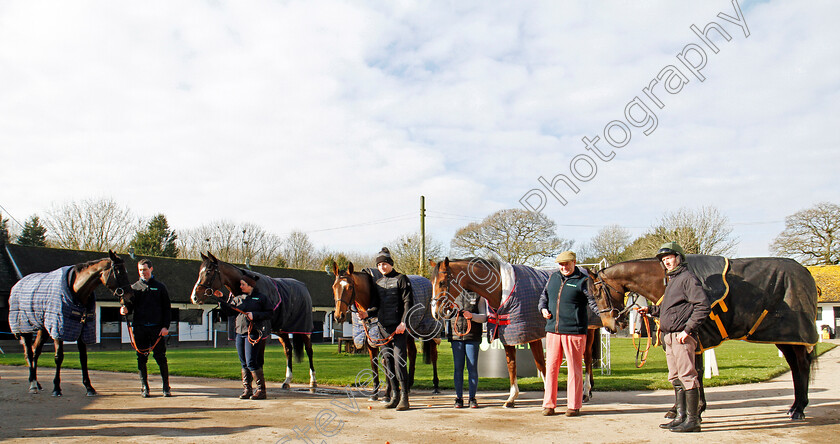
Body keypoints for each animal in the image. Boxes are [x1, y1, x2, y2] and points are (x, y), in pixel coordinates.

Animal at [8, 251, 135, 398]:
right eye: (119, 271)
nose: (130, 298)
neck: (76, 291)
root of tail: (17, 284)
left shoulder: (81, 329)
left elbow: (83, 357)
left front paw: (89, 387)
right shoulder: (59, 330)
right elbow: (59, 357)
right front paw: (56, 388)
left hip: (43, 329)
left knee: (35, 352)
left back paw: (37, 384)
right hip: (25, 329)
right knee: (29, 353)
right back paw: (32, 384)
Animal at [332, 260, 442, 398]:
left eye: (350, 287)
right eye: (334, 287)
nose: (338, 316)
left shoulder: (383, 339)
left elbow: (386, 365)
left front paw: (387, 394)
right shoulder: (370, 340)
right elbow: (374, 364)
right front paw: (374, 394)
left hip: (430, 330)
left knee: (433, 354)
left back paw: (436, 385)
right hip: (408, 332)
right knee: (412, 353)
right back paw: (409, 386)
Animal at [430, 258, 600, 408]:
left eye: (442, 282)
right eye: (431, 283)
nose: (435, 313)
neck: (500, 288)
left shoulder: (532, 335)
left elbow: (541, 364)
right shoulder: (508, 335)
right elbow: (511, 364)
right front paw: (511, 398)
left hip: (587, 330)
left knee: (586, 358)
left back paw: (585, 392)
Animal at [592, 253, 820, 420]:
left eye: (597, 292)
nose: (611, 325)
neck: (665, 281)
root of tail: (805, 271)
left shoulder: (693, 337)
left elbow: (693, 374)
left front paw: (693, 410)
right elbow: (691, 375)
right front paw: (688, 409)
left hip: (794, 336)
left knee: (802, 365)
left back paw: (799, 409)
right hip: (785, 338)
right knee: (795, 366)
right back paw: (795, 406)